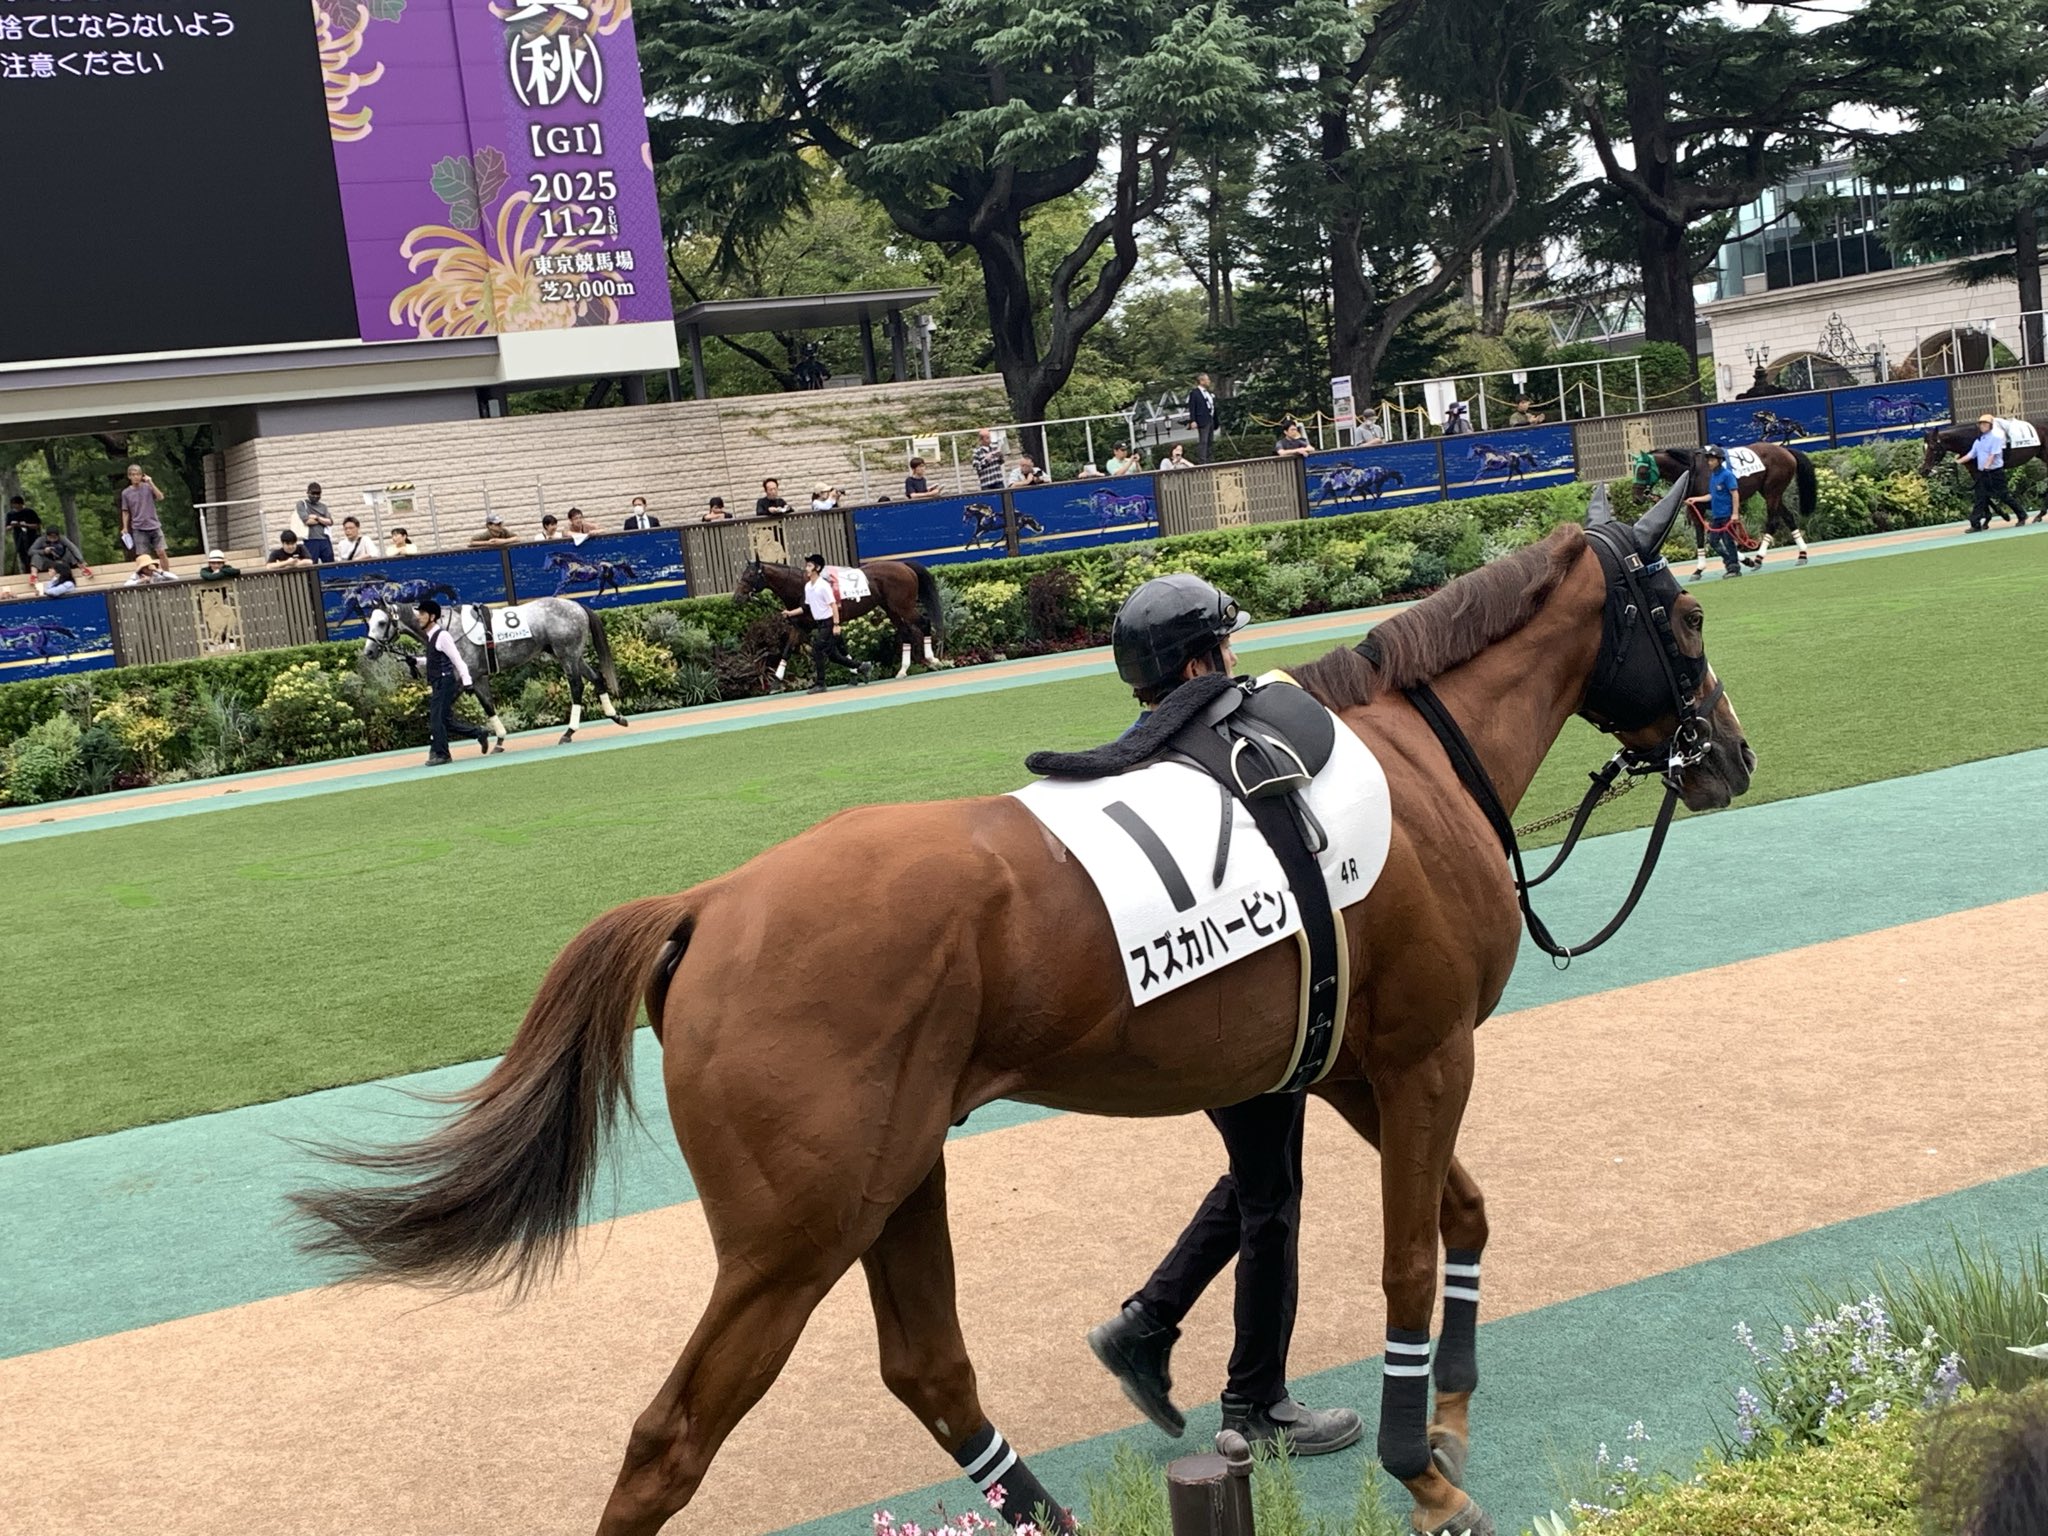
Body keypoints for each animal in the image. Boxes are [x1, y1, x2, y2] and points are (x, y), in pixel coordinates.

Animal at [362, 594, 627, 747]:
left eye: (382, 623)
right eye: (369, 622)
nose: (369, 651)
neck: (447, 626)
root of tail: (577, 605)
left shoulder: (463, 678)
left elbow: (444, 710)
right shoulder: (478, 678)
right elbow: (488, 705)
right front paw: (499, 738)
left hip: (567, 655)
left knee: (577, 686)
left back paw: (569, 732)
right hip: (572, 655)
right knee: (597, 677)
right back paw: (616, 716)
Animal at [732, 557, 947, 682]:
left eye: (750, 575)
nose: (737, 597)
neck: (802, 587)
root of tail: (904, 565)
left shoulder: (823, 623)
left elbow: (834, 649)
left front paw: (857, 671)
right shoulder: (802, 626)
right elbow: (788, 649)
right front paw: (777, 678)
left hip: (903, 606)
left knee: (924, 623)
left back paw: (932, 659)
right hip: (891, 608)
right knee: (905, 633)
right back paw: (902, 670)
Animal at [1641, 443, 1816, 567]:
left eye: (1642, 471)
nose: (1637, 497)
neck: (1693, 469)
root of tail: (1785, 450)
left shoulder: (1715, 507)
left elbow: (1720, 533)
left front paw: (1741, 559)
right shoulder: (1696, 506)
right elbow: (1702, 533)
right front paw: (1700, 567)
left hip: (1772, 491)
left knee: (1773, 522)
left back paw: (1759, 558)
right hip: (1770, 492)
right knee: (1788, 517)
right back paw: (1802, 554)